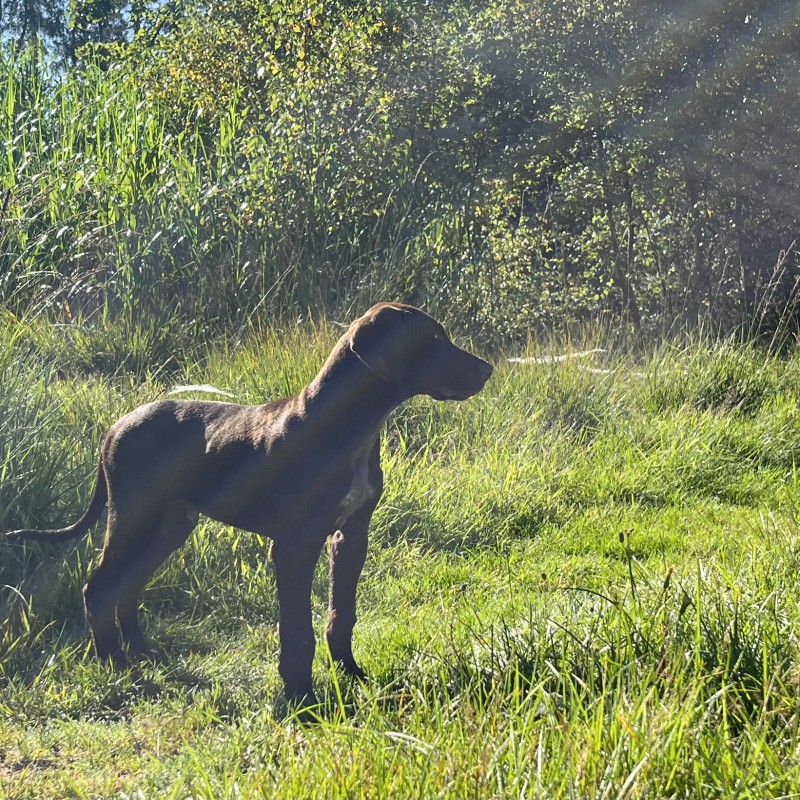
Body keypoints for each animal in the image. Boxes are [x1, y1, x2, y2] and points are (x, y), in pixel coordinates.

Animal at [4, 302, 493, 703]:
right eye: (432, 340)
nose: (487, 369)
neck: (352, 427)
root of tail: (114, 427)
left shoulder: (351, 535)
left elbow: (341, 615)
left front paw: (352, 675)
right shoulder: (294, 545)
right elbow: (297, 631)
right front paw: (301, 698)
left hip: (169, 526)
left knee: (128, 587)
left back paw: (143, 653)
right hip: (131, 519)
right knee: (100, 588)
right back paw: (116, 665)